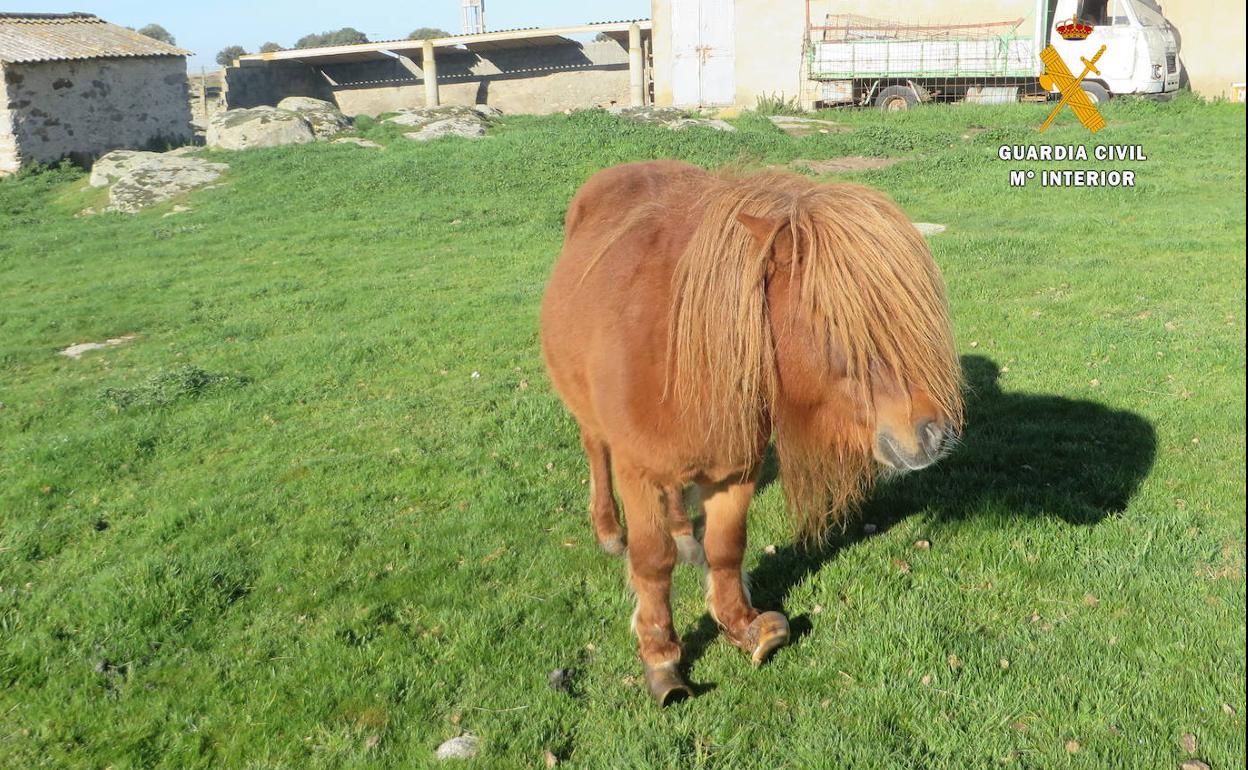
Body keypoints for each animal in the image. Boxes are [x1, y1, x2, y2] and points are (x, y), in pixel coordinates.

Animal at [539, 160, 963, 705]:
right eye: (838, 322)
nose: (934, 433)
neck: (683, 357)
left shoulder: (737, 470)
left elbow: (726, 546)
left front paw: (742, 626)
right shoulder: (638, 474)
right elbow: (651, 563)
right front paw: (661, 659)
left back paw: (685, 535)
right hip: (590, 420)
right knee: (596, 454)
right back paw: (610, 531)